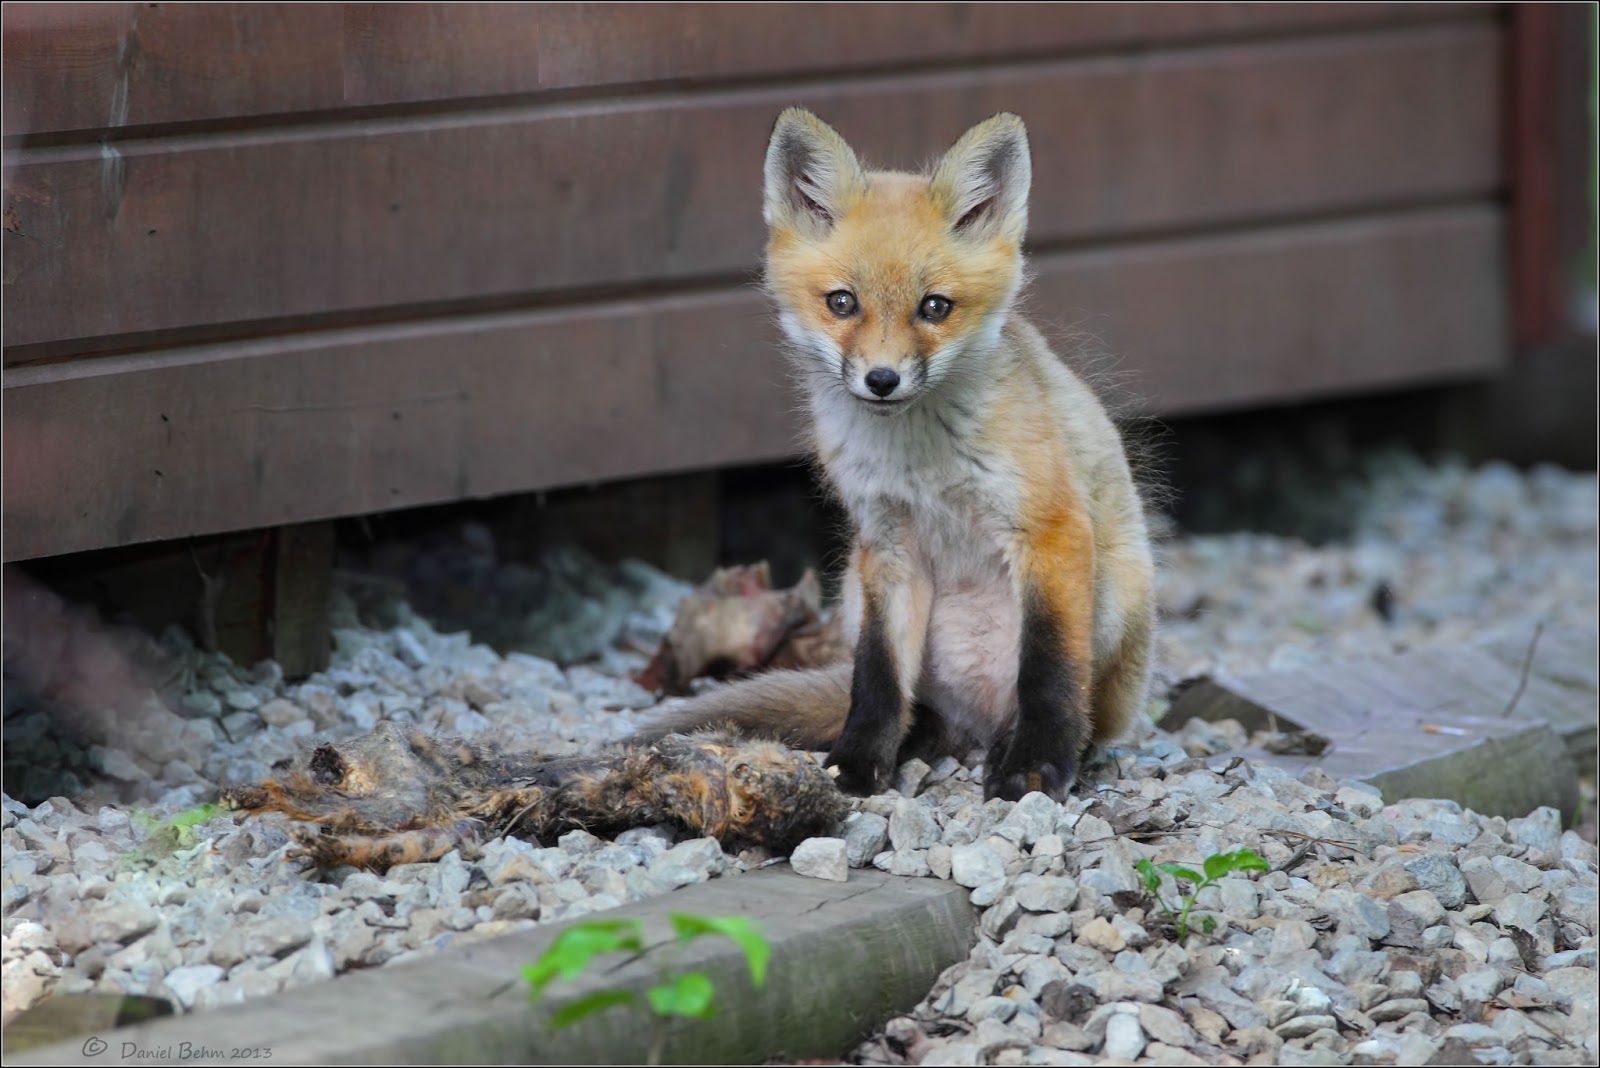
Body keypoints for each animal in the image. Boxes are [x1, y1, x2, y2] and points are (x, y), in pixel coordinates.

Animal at [638, 109, 1156, 802]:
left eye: (934, 307)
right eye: (842, 302)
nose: (881, 380)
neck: (919, 465)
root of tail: (976, 721)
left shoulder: (1051, 530)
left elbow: (1049, 671)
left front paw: (1035, 766)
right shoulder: (885, 542)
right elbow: (877, 677)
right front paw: (856, 763)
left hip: (1117, 593)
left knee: (1075, 711)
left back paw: (1027, 748)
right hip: (853, 590)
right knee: (917, 705)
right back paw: (922, 737)